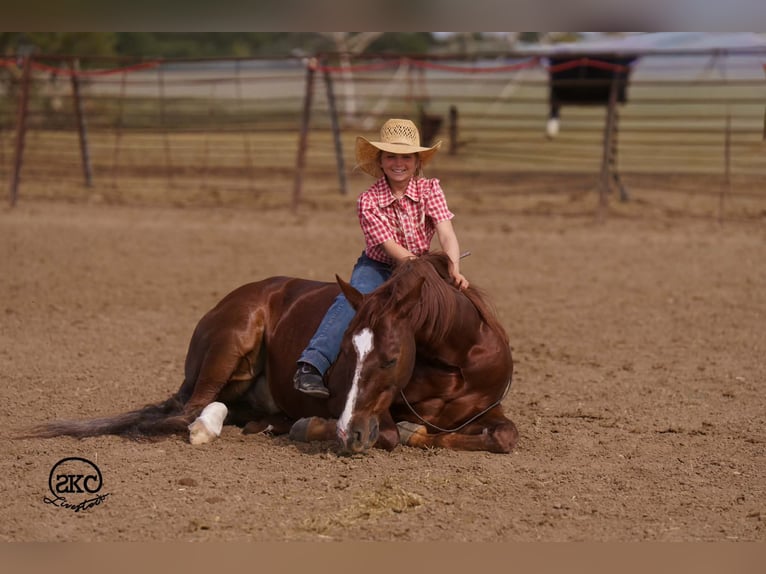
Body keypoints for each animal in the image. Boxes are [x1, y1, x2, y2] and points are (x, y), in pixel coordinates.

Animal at [24, 252, 518, 455]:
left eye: (392, 357)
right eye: (344, 354)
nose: (348, 435)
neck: (455, 361)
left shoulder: (486, 410)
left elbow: (504, 436)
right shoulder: (373, 412)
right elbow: (393, 434)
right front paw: (315, 428)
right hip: (231, 342)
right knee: (186, 411)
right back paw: (212, 427)